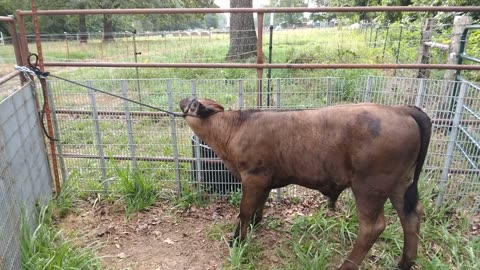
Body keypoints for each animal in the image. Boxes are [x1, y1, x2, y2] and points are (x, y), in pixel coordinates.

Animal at [179, 97, 432, 270]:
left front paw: (237, 241)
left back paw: (346, 266)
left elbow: (245, 210)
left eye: (193, 103)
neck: (235, 128)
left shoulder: (253, 176)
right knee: (411, 215)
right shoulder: (265, 180)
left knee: (373, 227)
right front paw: (253, 227)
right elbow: (258, 206)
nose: (183, 99)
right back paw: (405, 262)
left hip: (369, 187)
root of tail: (401, 110)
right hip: (401, 183)